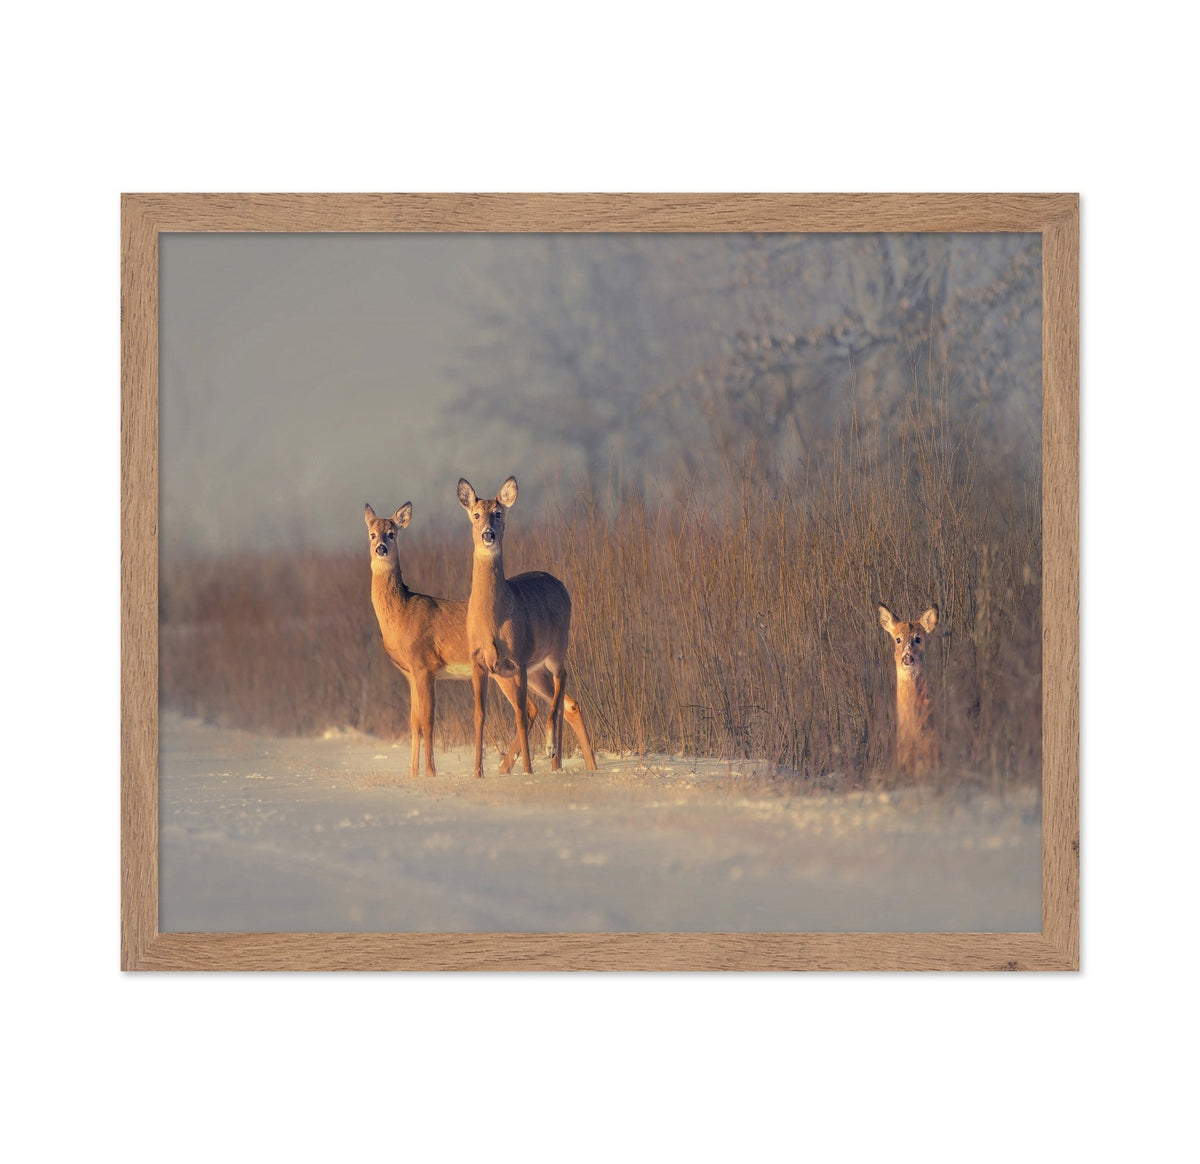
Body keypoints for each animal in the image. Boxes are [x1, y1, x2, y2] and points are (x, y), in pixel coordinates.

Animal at [364, 501, 540, 777]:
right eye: (372, 534)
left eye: (392, 534)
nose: (380, 548)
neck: (401, 614)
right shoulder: (410, 674)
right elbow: (414, 722)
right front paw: (412, 773)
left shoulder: (425, 665)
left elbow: (427, 721)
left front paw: (430, 772)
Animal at [456, 476, 597, 779]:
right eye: (476, 514)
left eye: (499, 513)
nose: (488, 535)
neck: (493, 622)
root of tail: (560, 583)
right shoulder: (479, 662)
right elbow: (479, 715)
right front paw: (477, 773)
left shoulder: (518, 659)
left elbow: (520, 714)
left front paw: (529, 769)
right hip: (535, 670)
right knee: (567, 702)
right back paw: (573, 764)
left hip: (555, 649)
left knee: (561, 683)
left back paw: (552, 750)